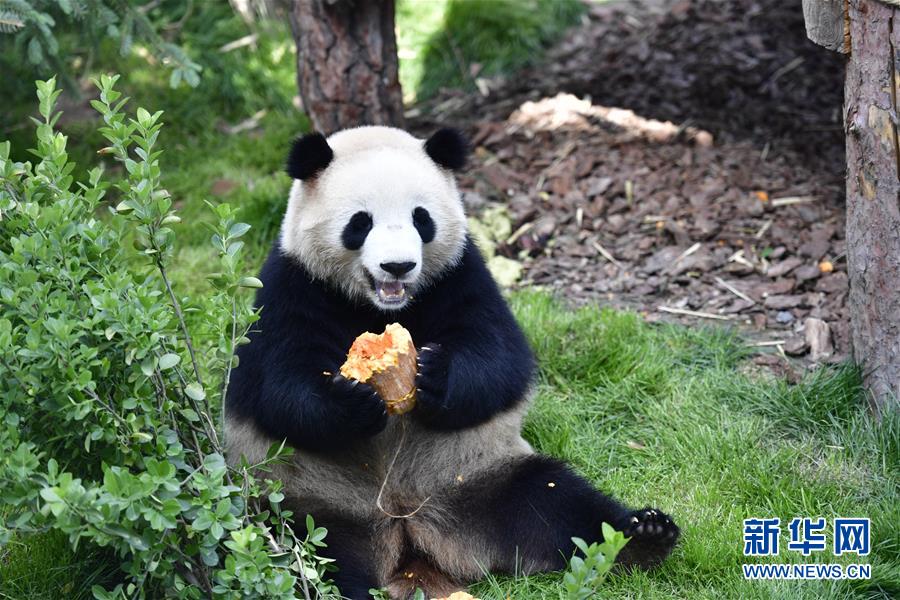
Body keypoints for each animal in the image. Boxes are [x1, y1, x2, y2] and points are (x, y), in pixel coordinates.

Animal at [223, 126, 676, 600]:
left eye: (421, 218)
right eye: (360, 222)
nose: (398, 266)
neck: (379, 307)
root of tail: (408, 534)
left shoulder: (459, 273)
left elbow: (500, 357)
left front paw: (436, 377)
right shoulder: (292, 285)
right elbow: (279, 387)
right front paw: (353, 402)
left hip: (476, 476)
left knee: (556, 504)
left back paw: (642, 538)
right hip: (306, 502)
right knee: (298, 552)